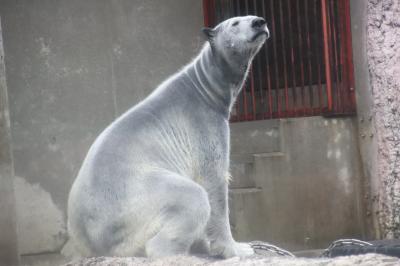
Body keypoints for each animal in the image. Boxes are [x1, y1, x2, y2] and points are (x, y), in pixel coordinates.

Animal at [67, 15, 268, 258]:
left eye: (252, 18)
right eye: (235, 23)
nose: (259, 22)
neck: (205, 87)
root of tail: (92, 242)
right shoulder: (204, 122)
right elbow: (214, 180)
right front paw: (238, 248)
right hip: (139, 199)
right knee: (191, 198)